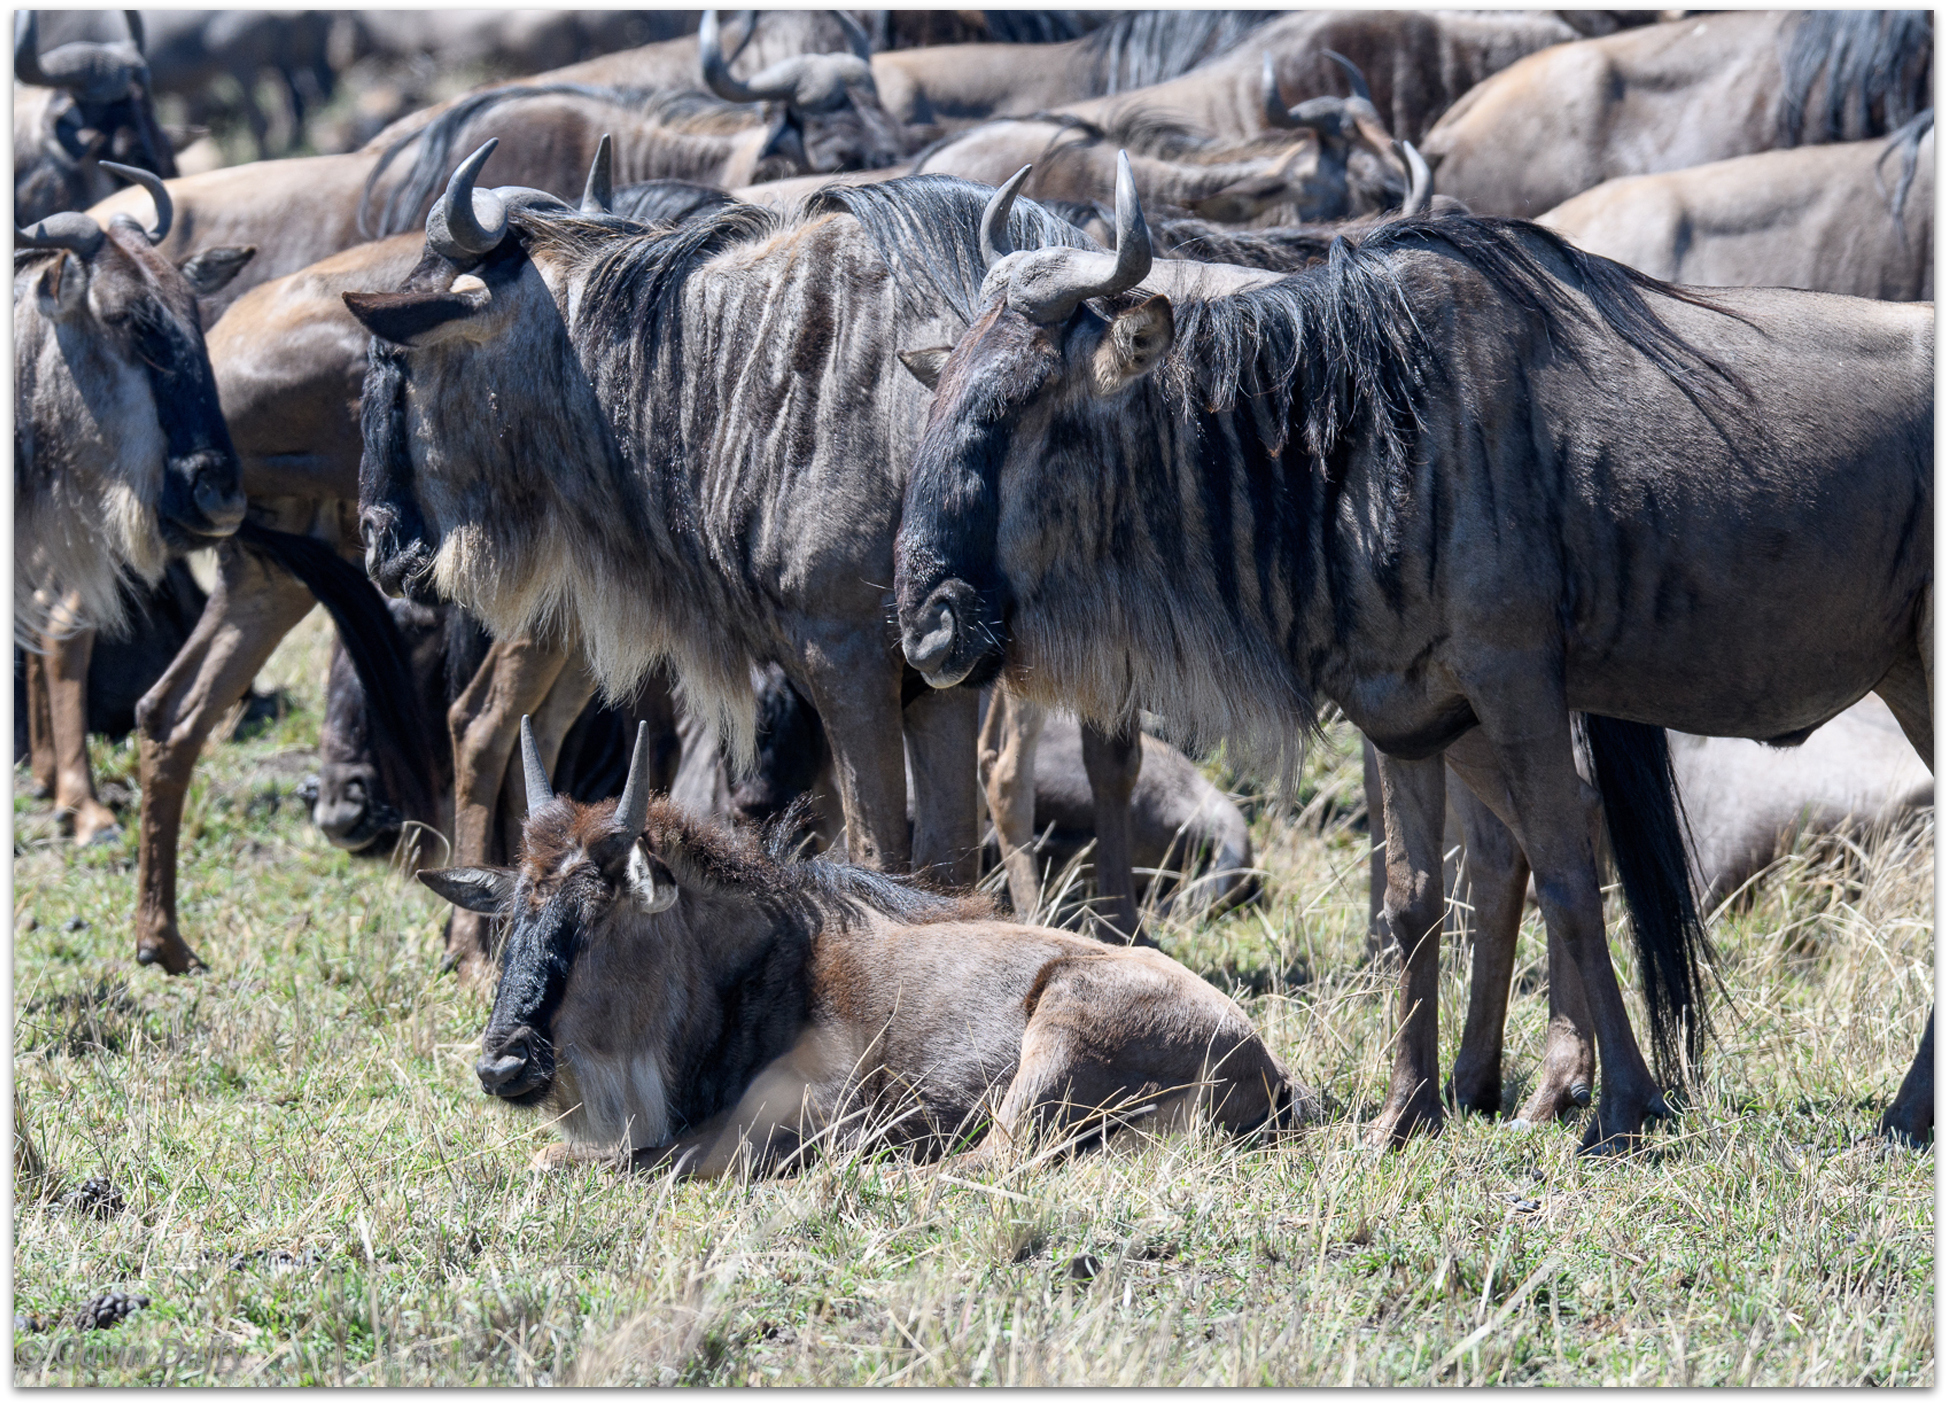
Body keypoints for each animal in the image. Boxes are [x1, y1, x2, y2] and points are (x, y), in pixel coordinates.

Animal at [420, 724, 1301, 1169]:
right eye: (515, 917)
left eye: (598, 917)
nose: (502, 1064)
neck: (756, 972)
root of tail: (1262, 1058)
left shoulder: (808, 1113)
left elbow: (632, 1160)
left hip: (1057, 1036)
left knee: (986, 1161)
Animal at [892, 164, 1932, 1153]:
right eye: (938, 398)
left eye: (1018, 410)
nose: (928, 630)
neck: (1360, 442)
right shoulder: (1405, 711)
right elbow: (1414, 900)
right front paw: (1409, 1112)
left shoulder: (1516, 682)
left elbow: (1566, 872)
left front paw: (1627, 1109)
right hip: (1907, 680)